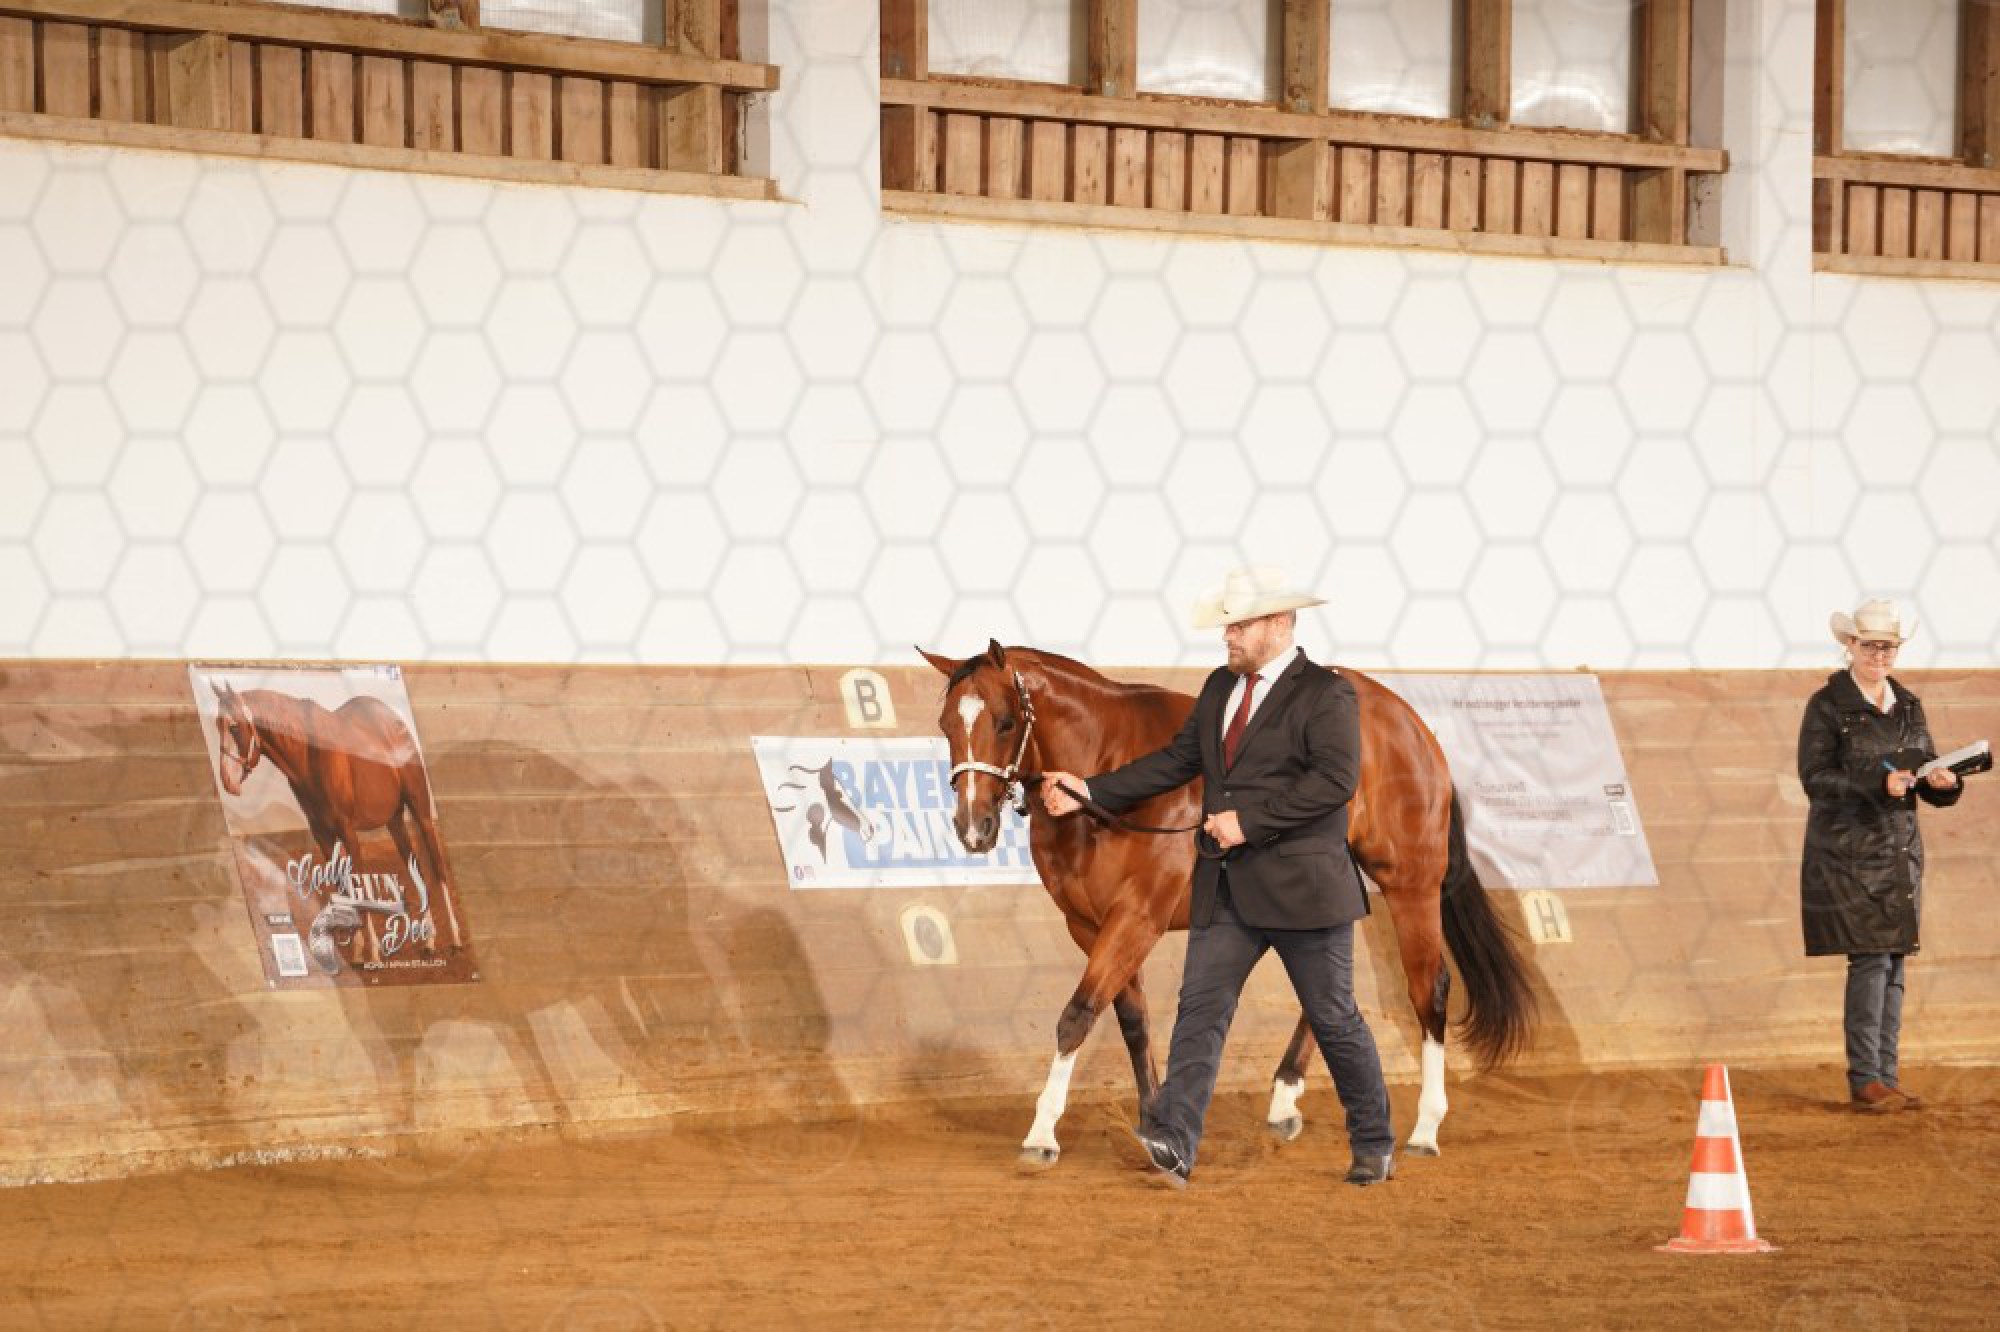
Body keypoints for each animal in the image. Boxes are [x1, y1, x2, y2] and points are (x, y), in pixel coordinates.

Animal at [210, 682, 463, 973]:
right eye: (217, 724)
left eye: (234, 726)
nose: (227, 782)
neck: (310, 754)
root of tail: (396, 722)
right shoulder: (323, 835)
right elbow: (343, 888)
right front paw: (357, 953)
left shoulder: (346, 831)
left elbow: (358, 887)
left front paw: (373, 954)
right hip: (395, 821)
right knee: (417, 869)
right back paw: (428, 941)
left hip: (421, 813)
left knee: (438, 867)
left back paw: (455, 940)